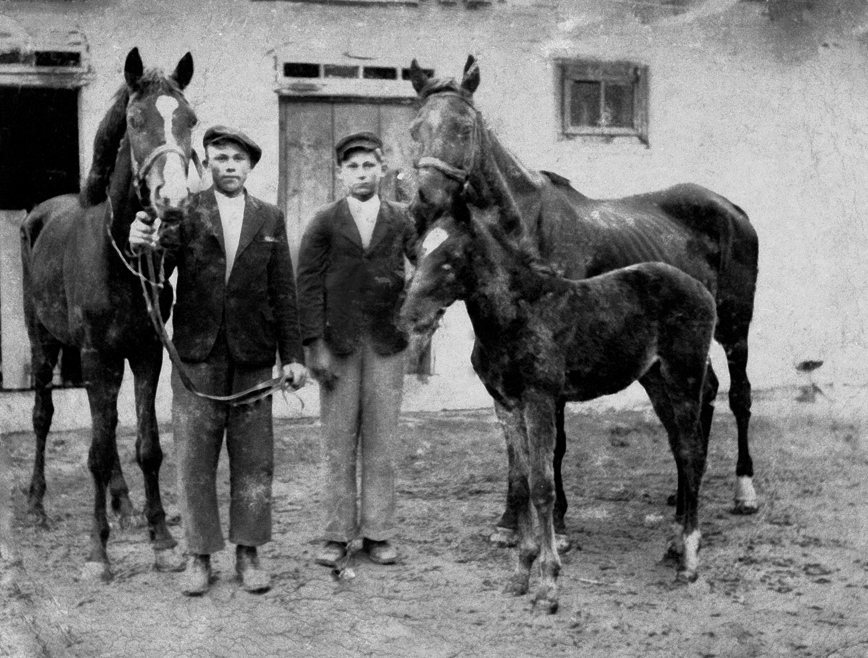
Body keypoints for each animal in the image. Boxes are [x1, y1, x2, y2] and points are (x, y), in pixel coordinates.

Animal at [20, 47, 198, 580]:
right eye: (135, 120)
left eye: (190, 119)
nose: (172, 201)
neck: (117, 255)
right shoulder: (96, 354)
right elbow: (96, 453)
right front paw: (97, 551)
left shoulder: (145, 354)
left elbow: (147, 445)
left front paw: (161, 537)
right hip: (45, 345)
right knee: (43, 416)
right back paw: (37, 506)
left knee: (111, 424)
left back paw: (124, 506)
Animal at [404, 193, 716, 608]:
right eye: (419, 252)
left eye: (451, 258)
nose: (410, 317)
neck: (515, 318)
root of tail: (702, 289)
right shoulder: (506, 405)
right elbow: (520, 483)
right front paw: (521, 573)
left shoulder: (540, 399)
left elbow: (542, 485)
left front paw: (549, 583)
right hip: (655, 380)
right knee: (681, 452)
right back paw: (675, 546)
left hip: (684, 375)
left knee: (692, 453)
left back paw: (690, 561)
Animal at [406, 56, 760, 544]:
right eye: (414, 128)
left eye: (464, 127)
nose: (425, 202)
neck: (524, 227)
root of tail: (732, 209)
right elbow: (515, 449)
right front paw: (509, 521)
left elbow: (553, 445)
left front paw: (556, 522)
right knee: (701, 396)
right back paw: (684, 493)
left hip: (734, 326)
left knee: (739, 395)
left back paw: (744, 491)